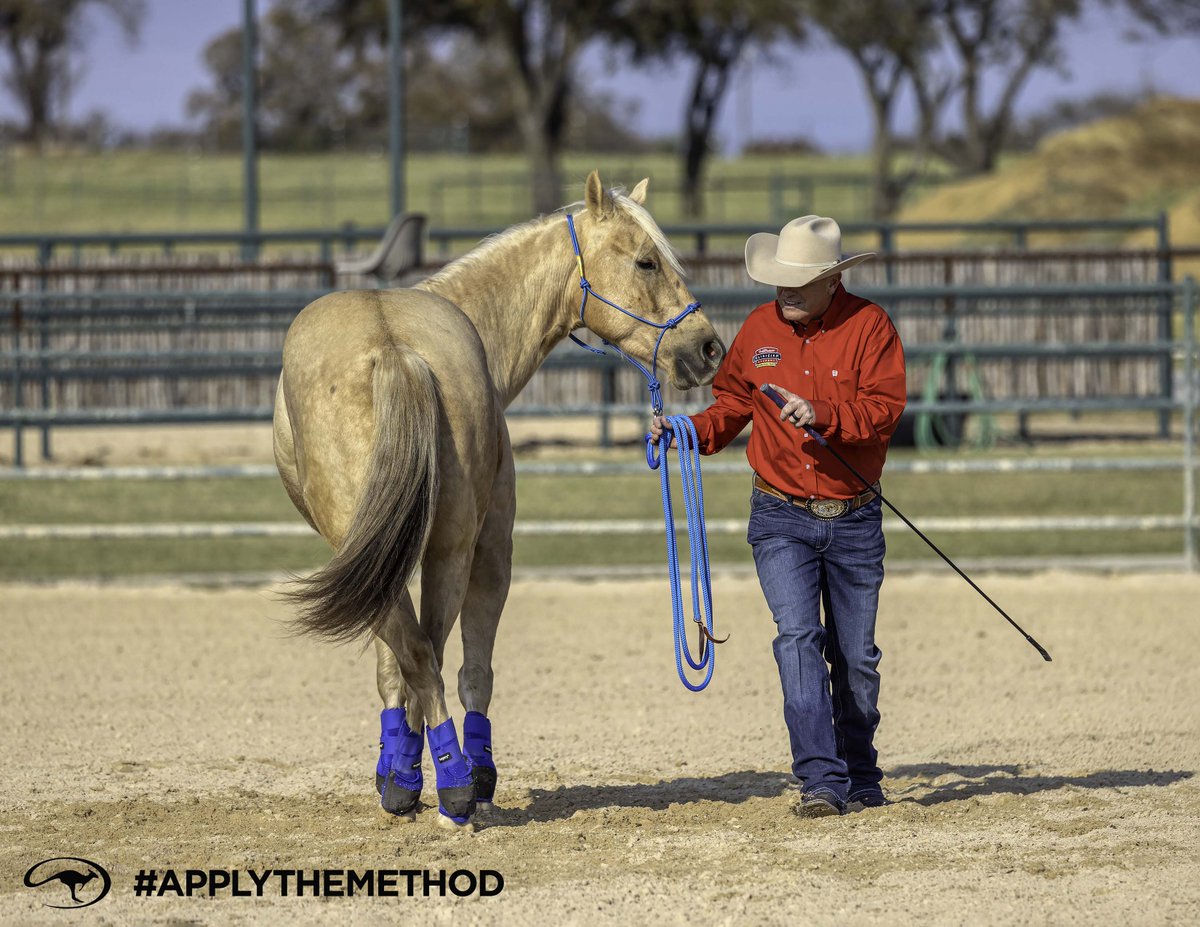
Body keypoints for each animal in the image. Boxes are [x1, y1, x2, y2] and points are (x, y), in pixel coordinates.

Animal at [272, 171, 726, 828]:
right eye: (646, 261)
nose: (709, 347)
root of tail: (395, 348)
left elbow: (419, 669)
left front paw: (412, 774)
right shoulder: (480, 551)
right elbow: (455, 669)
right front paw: (450, 773)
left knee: (422, 654)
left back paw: (438, 780)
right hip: (437, 550)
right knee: (426, 654)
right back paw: (451, 782)